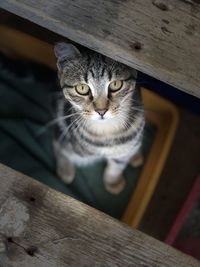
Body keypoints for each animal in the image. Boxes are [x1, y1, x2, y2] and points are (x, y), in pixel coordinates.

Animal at [53, 43, 144, 195]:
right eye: (82, 88)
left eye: (115, 84)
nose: (101, 111)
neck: (107, 132)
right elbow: (61, 148)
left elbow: (116, 166)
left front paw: (112, 182)